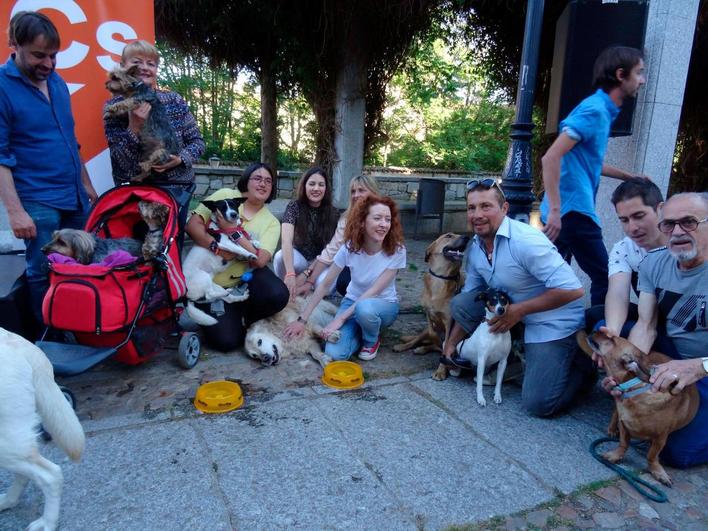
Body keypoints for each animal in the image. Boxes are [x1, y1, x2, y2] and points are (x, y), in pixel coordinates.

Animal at [183, 197, 260, 326]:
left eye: (234, 205)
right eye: (222, 208)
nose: (234, 214)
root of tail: (182, 294)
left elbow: (243, 242)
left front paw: (254, 243)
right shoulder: (224, 243)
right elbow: (240, 248)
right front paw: (251, 254)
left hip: (212, 285)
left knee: (226, 299)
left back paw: (236, 295)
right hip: (202, 277)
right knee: (209, 294)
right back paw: (227, 292)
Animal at [580, 330, 700, 488]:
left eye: (612, 339)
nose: (595, 330)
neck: (635, 391)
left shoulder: (661, 438)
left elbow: (652, 456)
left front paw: (657, 472)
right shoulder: (624, 424)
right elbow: (623, 443)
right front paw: (616, 455)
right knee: (615, 411)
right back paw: (612, 428)